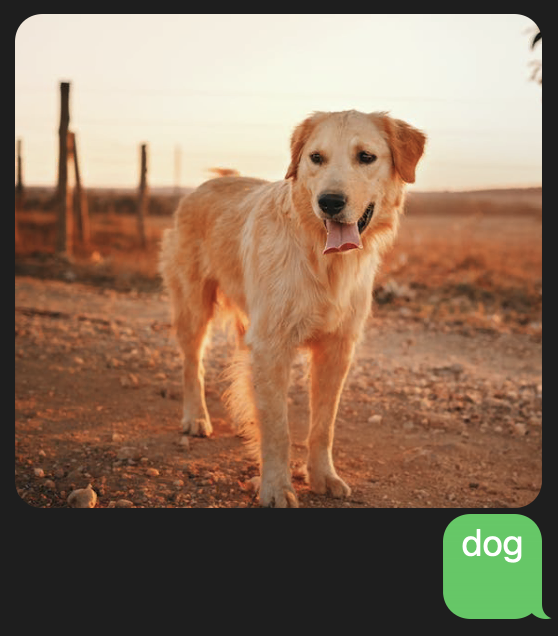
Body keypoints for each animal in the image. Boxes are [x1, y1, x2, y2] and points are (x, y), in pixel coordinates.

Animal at [160, 109, 426, 506]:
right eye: (316, 158)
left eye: (366, 157)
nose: (330, 202)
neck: (323, 260)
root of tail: (209, 183)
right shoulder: (272, 346)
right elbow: (278, 428)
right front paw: (275, 486)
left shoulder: (336, 350)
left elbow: (322, 425)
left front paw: (322, 476)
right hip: (194, 307)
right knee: (193, 364)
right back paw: (196, 418)